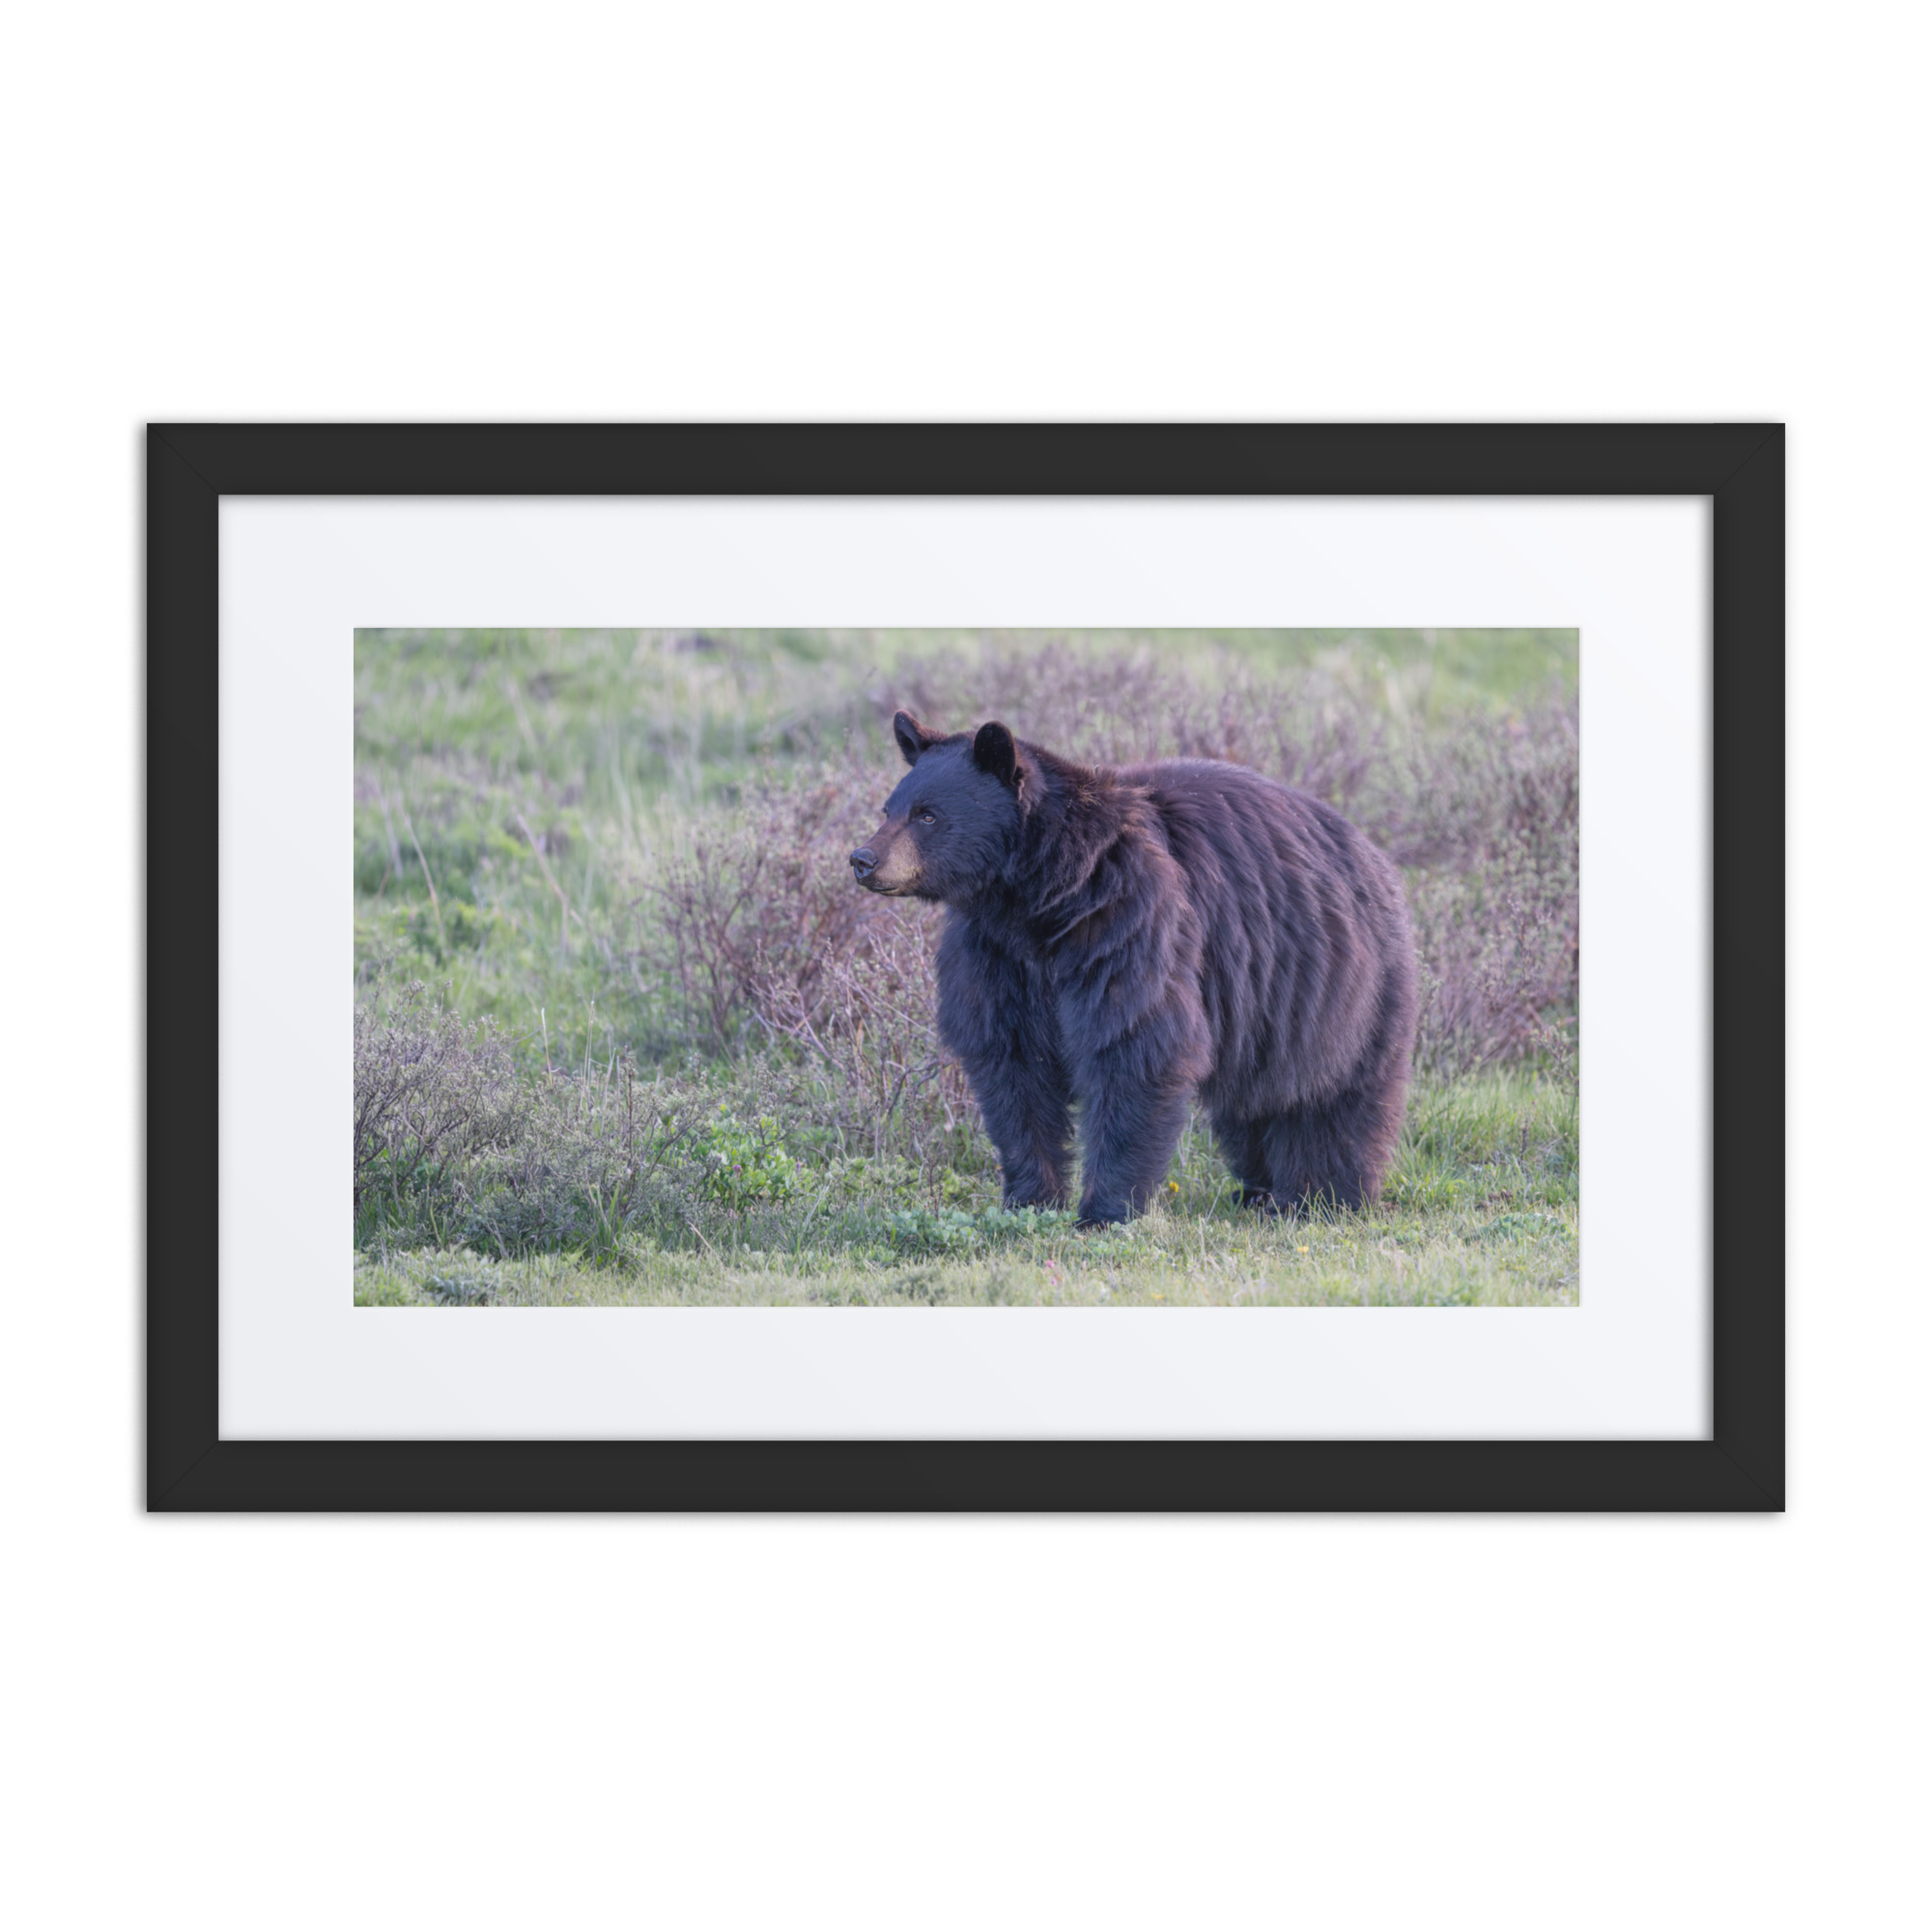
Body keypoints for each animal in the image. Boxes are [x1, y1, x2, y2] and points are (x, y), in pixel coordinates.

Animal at [849, 711, 1418, 1227]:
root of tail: (1373, 854)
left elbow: (1133, 1046)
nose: (863, 859)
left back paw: (1320, 1196)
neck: (1039, 898)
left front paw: (1105, 1211)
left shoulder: (1127, 921)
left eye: (927, 815)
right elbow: (1012, 1066)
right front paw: (1029, 1199)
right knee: (1253, 1103)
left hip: (1340, 985)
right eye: (889, 807)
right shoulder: (995, 956)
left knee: (1333, 1097)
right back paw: (1258, 1190)